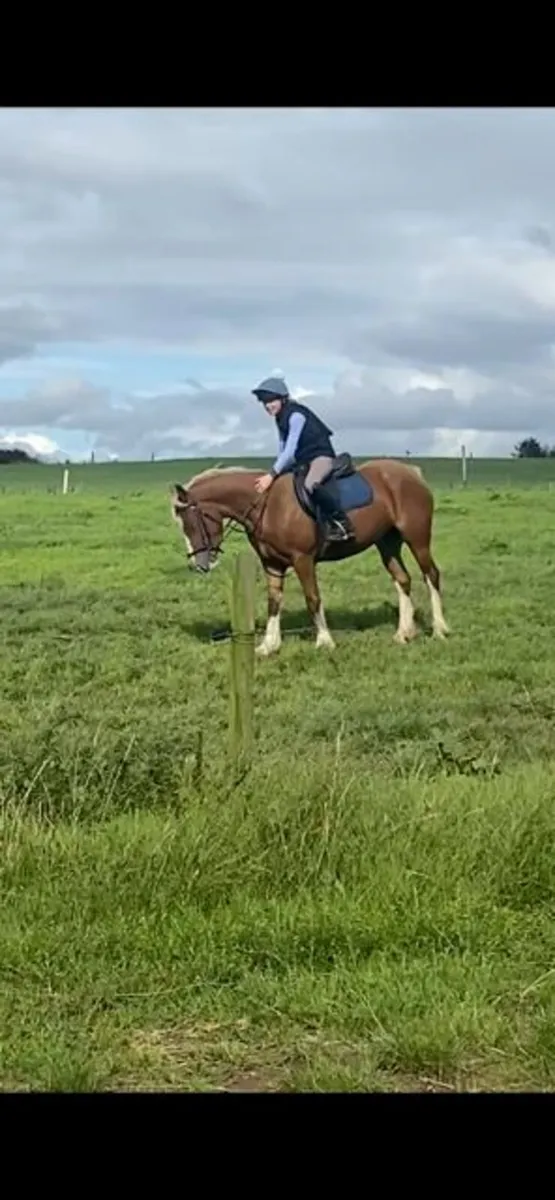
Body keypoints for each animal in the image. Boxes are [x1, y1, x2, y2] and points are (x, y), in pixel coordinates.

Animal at [171, 454, 450, 656]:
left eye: (191, 522)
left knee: (431, 575)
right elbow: (273, 601)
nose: (198, 565)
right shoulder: (272, 564)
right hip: (387, 543)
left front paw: (324, 641)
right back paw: (404, 633)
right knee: (403, 580)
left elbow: (313, 598)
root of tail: (411, 473)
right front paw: (269, 645)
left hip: (417, 538)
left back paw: (439, 629)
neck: (267, 504)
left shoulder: (302, 559)